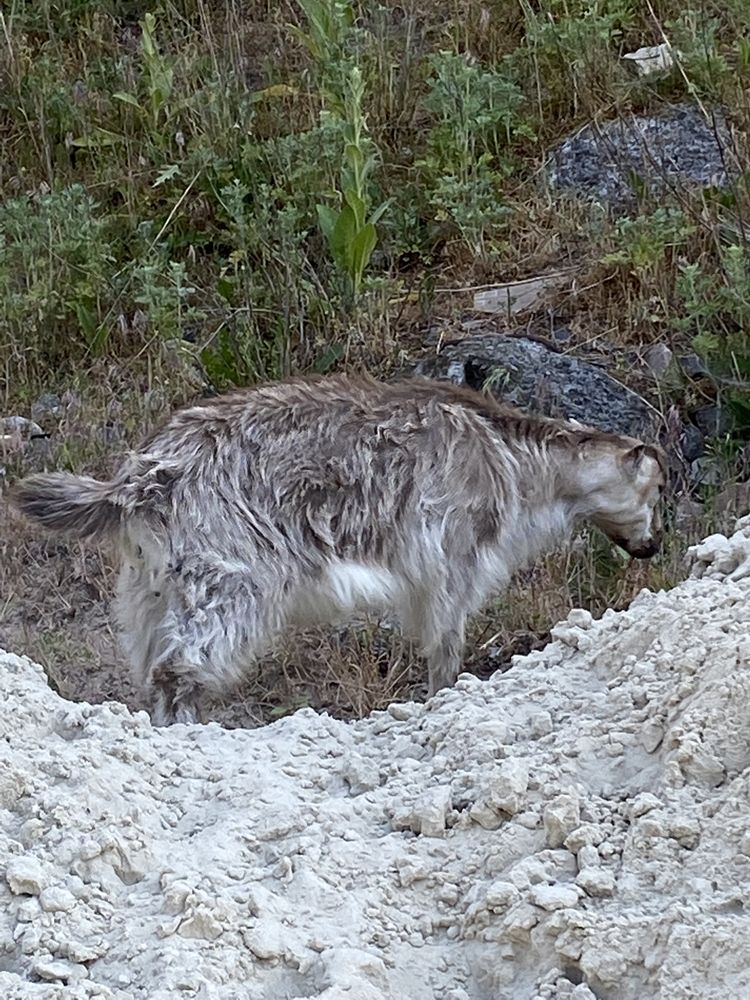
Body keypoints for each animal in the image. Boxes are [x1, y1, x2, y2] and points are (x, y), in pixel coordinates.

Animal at [11, 372, 668, 724]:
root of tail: (140, 479)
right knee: (181, 664)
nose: (652, 545)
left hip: (152, 581)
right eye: (656, 489)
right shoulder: (451, 551)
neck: (514, 456)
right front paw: (443, 697)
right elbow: (445, 640)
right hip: (229, 571)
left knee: (151, 661)